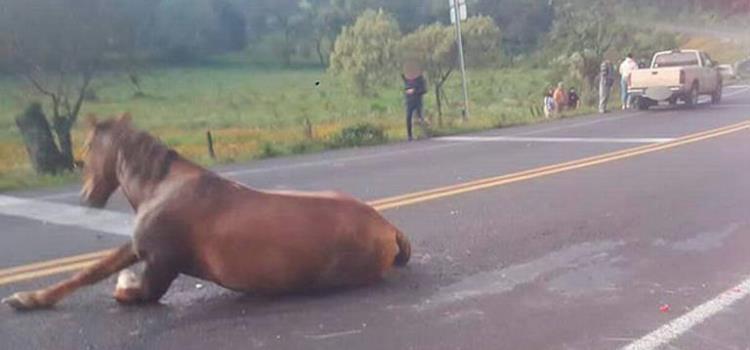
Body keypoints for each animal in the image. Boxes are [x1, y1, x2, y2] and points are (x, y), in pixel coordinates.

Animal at [2, 114, 412, 308]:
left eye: (88, 147)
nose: (87, 196)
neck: (156, 186)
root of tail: (389, 228)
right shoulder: (141, 249)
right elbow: (91, 272)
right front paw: (29, 299)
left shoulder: (159, 266)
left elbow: (112, 282)